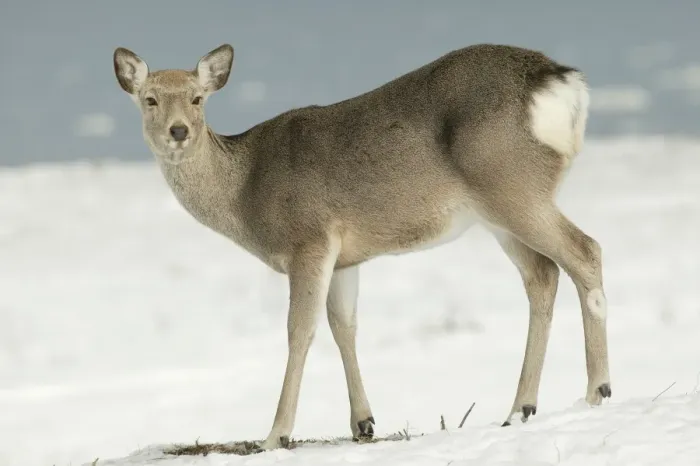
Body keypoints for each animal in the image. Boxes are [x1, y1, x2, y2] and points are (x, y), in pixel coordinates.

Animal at [113, 42, 611, 450]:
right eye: (150, 99)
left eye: (198, 98)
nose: (179, 131)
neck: (245, 191)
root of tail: (562, 82)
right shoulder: (344, 255)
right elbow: (344, 327)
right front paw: (363, 423)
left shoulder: (309, 238)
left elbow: (300, 331)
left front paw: (276, 434)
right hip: (498, 211)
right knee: (543, 275)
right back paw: (519, 409)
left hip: (512, 185)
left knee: (585, 251)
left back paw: (597, 390)